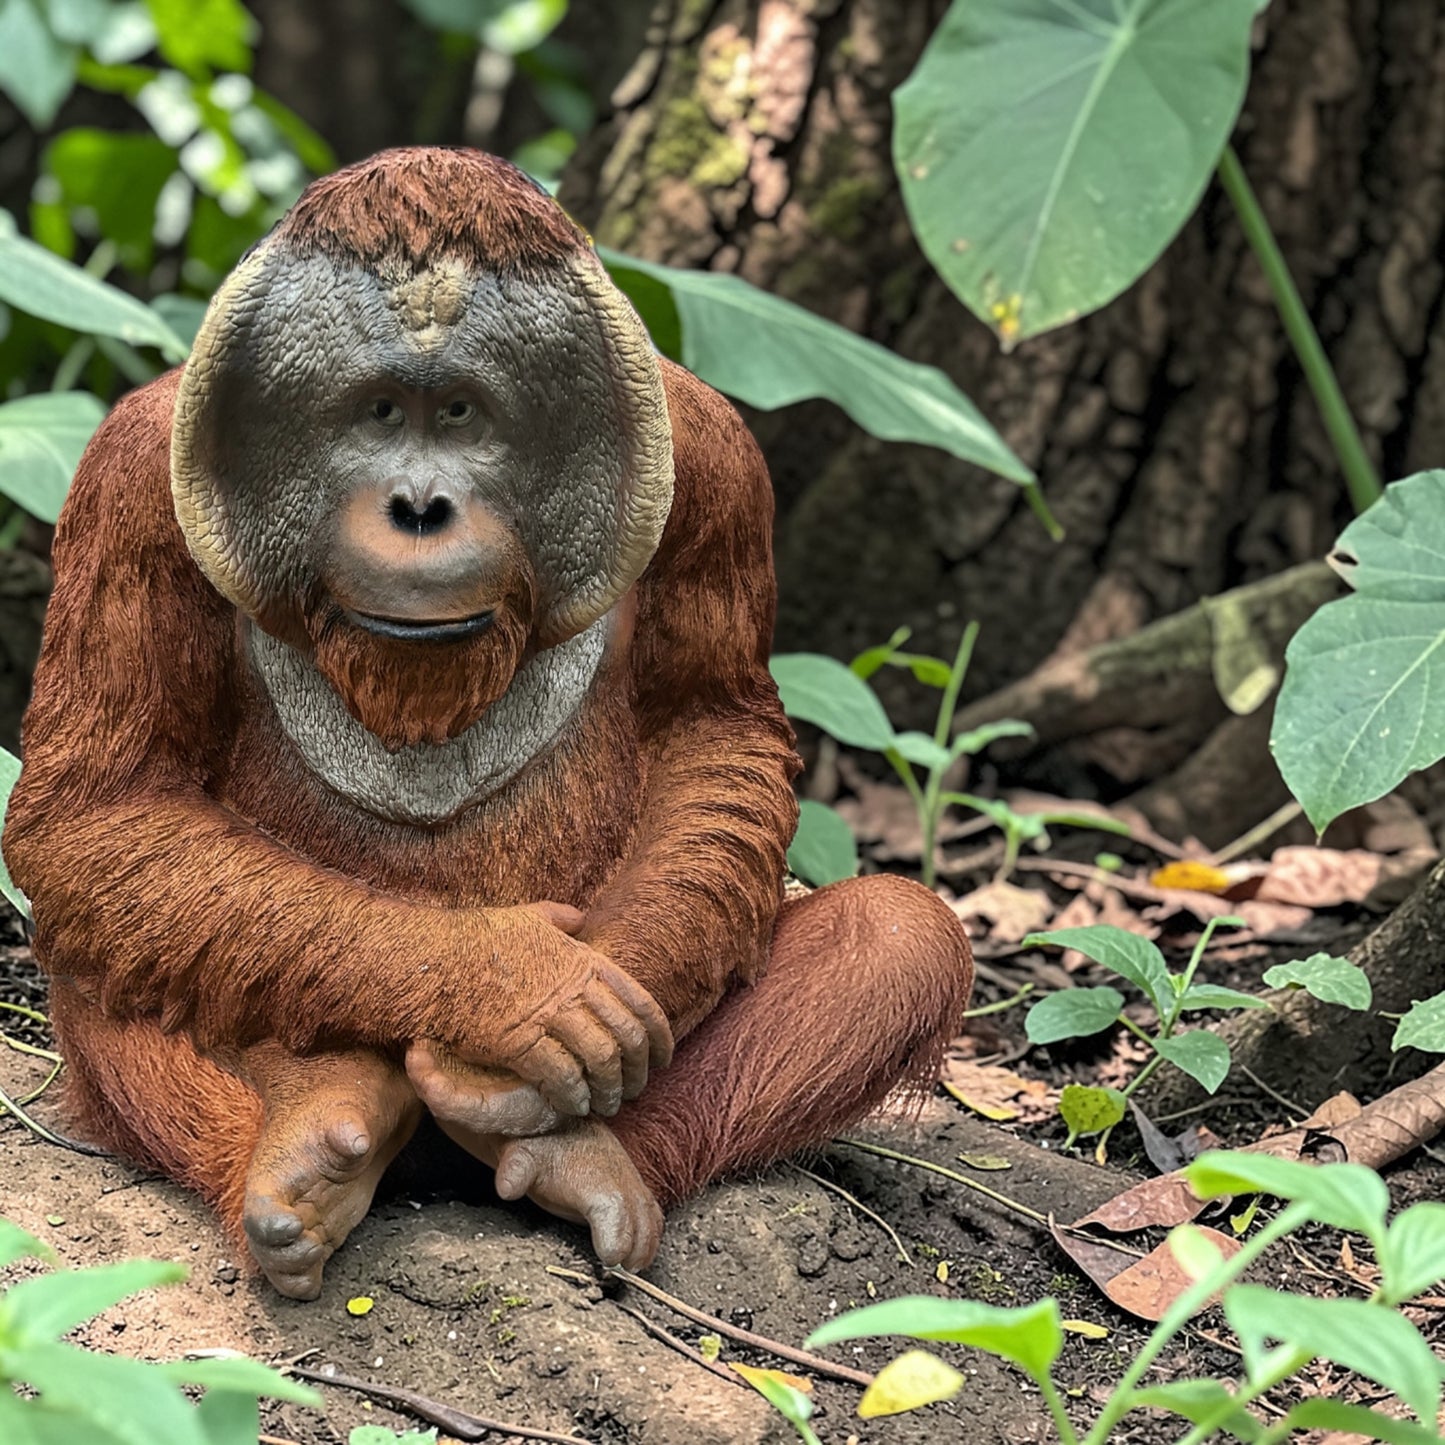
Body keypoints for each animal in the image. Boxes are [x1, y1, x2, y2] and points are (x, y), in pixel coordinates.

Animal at [4, 148, 974, 1300]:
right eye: (377, 411)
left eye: (464, 412)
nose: (420, 507)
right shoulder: (130, 480)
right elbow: (94, 811)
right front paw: (518, 985)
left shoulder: (715, 457)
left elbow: (715, 730)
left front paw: (584, 999)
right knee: (90, 939)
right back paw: (315, 1130)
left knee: (897, 932)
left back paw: (567, 1152)